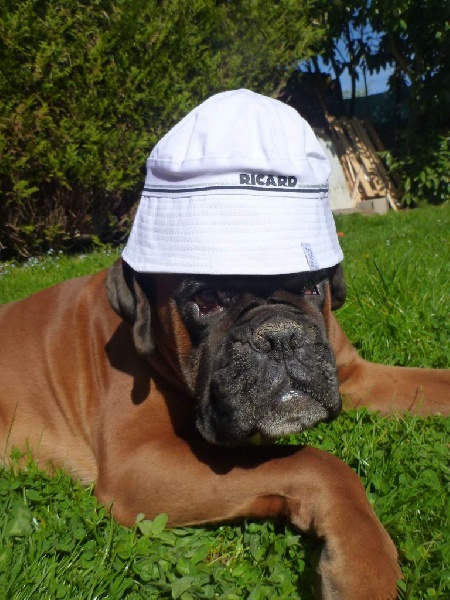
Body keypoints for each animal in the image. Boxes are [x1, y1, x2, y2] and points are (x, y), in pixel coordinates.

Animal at [1, 257, 449, 599]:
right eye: (206, 300)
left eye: (311, 286)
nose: (280, 337)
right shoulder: (138, 464)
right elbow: (319, 464)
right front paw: (365, 567)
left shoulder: (356, 375)